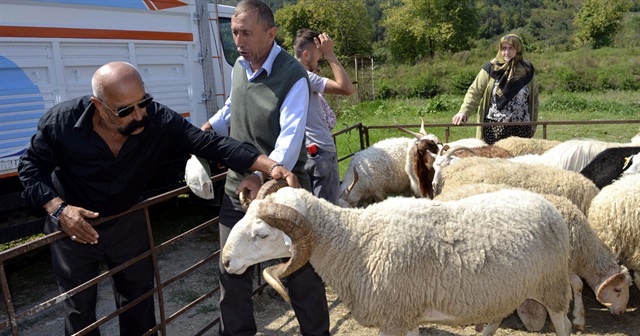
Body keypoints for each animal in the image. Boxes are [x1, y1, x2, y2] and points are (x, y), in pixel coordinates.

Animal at [224, 180, 568, 336]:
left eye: (261, 233)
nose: (225, 262)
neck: (354, 243)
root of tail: (550, 208)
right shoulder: (406, 315)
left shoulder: (394, 316)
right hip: (510, 288)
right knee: (497, 315)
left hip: (553, 287)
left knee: (562, 323)